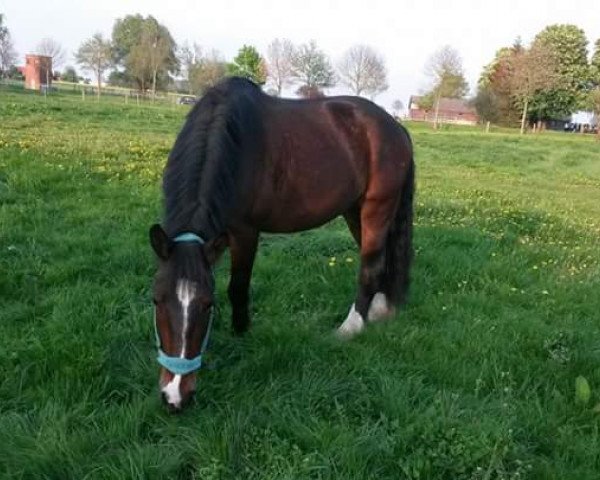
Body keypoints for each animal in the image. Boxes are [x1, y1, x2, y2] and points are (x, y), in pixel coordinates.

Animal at [148, 77, 414, 410]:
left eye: (207, 304)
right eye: (156, 300)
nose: (175, 397)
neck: (233, 141)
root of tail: (395, 127)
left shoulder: (245, 232)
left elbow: (237, 287)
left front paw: (241, 333)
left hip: (376, 209)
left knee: (370, 266)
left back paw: (351, 327)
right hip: (355, 211)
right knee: (381, 260)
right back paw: (379, 310)